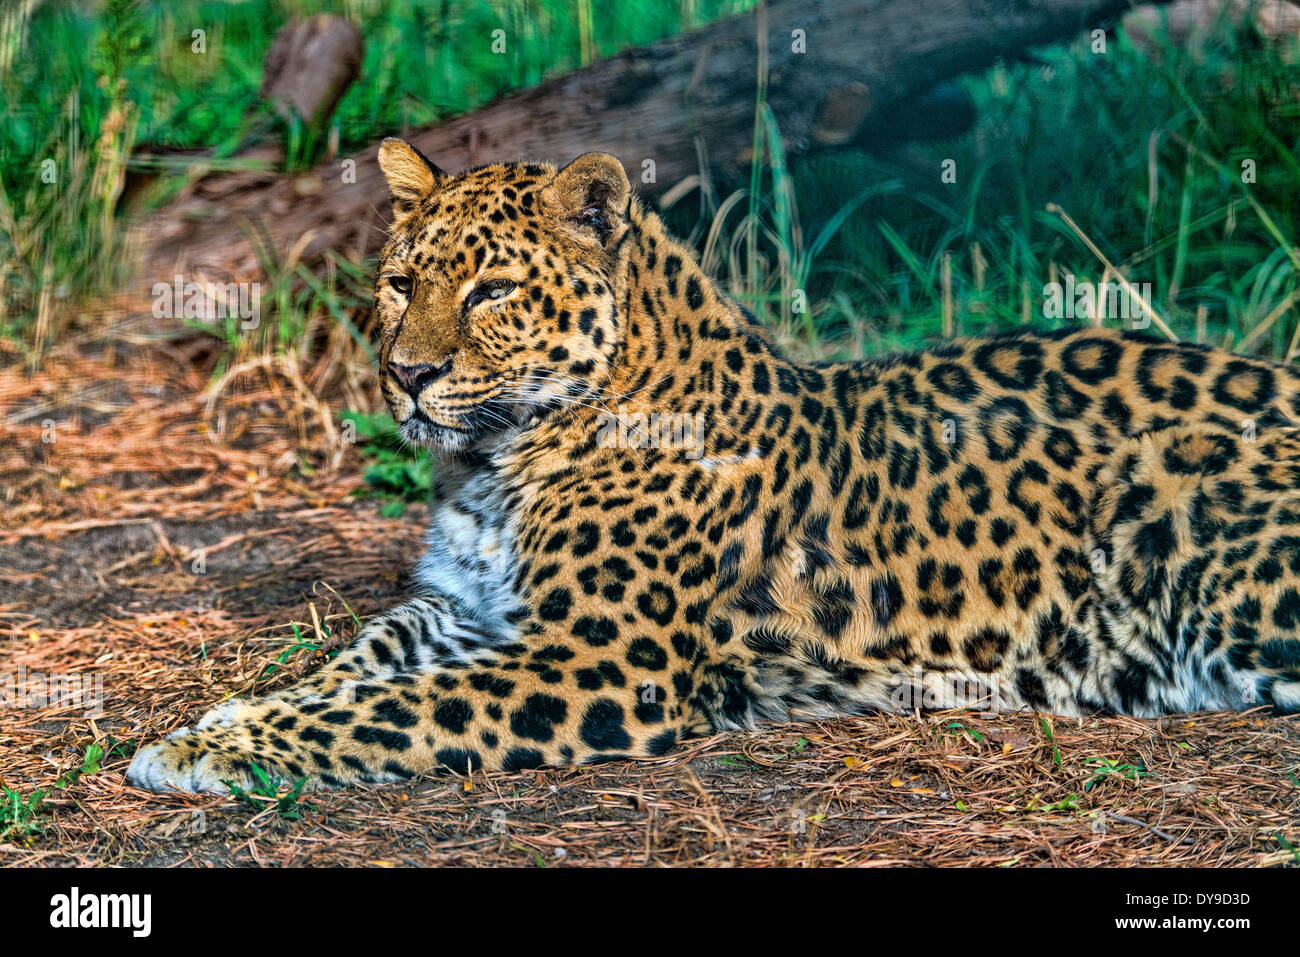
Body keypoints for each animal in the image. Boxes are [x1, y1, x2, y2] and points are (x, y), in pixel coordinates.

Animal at [129, 138, 1300, 793]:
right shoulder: (461, 609)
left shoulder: (599, 661)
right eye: (400, 281)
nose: (406, 376)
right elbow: (357, 665)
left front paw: (206, 751)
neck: (496, 463)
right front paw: (224, 719)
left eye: (492, 293)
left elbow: (392, 707)